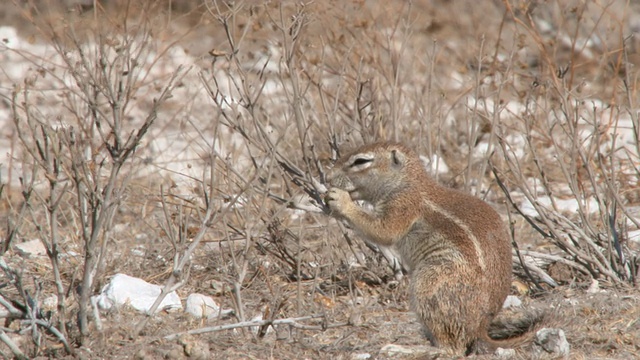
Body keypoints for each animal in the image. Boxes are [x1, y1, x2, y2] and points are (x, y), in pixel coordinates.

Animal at [328, 142, 536, 356]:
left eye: (361, 161)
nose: (327, 176)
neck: (406, 183)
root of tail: (480, 328)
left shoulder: (403, 205)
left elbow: (384, 231)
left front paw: (340, 200)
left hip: (431, 281)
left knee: (452, 349)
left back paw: (412, 349)